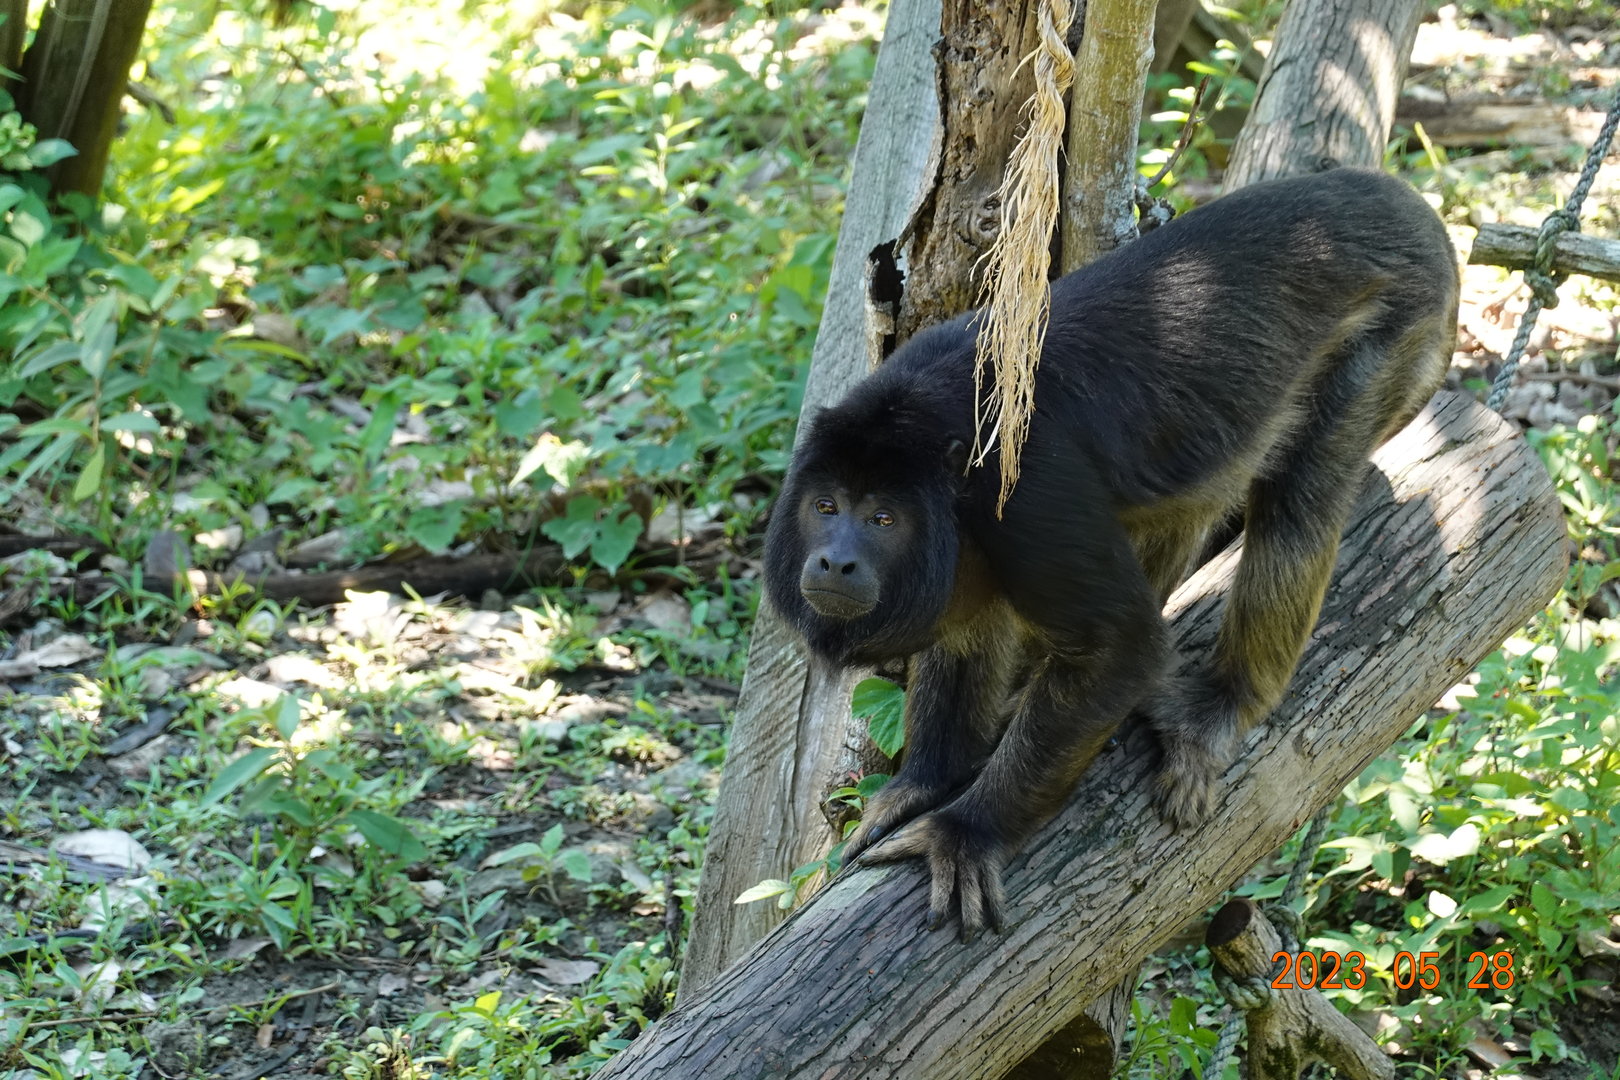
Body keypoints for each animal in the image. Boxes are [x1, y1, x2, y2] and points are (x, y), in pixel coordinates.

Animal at [763, 167, 1459, 940]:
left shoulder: (1024, 495)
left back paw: (1223, 706)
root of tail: (1394, 200)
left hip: (1400, 323)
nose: (835, 561)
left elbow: (1120, 647)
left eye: (882, 519)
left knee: (1302, 498)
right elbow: (971, 633)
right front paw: (923, 784)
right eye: (826, 508)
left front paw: (966, 831)